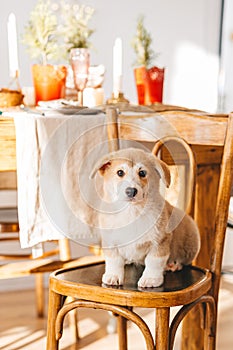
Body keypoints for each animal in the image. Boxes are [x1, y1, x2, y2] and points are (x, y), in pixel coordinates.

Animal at [90, 148, 199, 288]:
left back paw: (173, 265)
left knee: (183, 261)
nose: (131, 191)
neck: (132, 212)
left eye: (142, 173)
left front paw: (151, 279)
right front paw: (113, 276)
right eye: (120, 172)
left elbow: (153, 262)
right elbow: (114, 261)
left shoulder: (160, 241)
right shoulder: (110, 241)